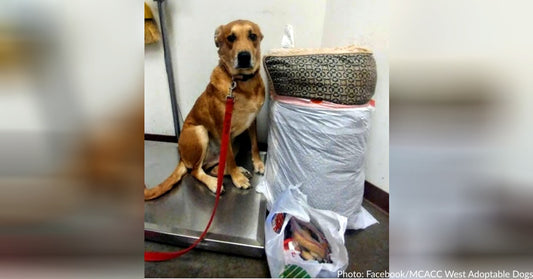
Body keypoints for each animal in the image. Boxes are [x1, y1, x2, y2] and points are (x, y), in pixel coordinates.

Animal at [144, 19, 264, 201]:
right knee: (195, 171)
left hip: (235, 141)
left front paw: (257, 163)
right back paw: (215, 183)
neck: (243, 84)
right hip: (199, 131)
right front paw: (237, 179)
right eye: (231, 38)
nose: (244, 56)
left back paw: (235, 171)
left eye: (253, 36)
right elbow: (230, 159)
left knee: (215, 168)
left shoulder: (252, 122)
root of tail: (182, 158)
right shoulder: (224, 129)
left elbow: (255, 144)